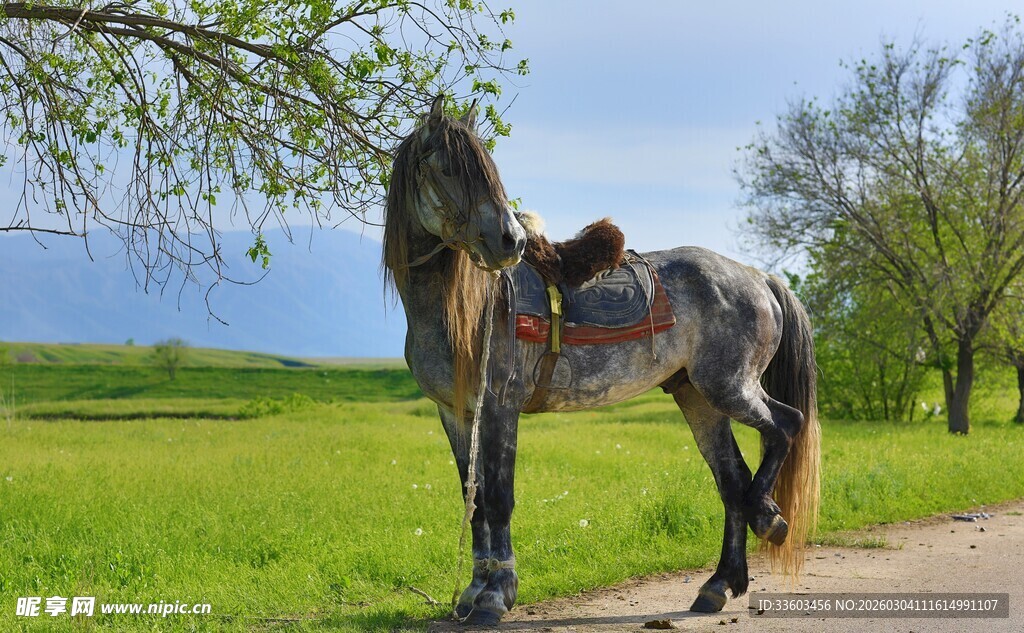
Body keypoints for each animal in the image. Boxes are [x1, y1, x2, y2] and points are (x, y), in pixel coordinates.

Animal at [383, 95, 821, 625]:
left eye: (487, 170)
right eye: (448, 169)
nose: (512, 242)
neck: (466, 309)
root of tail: (758, 277)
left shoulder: (500, 406)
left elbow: (499, 498)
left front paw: (494, 596)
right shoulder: (456, 413)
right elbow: (476, 501)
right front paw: (473, 593)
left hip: (730, 387)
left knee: (786, 426)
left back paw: (768, 517)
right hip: (698, 397)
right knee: (732, 481)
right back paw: (718, 586)